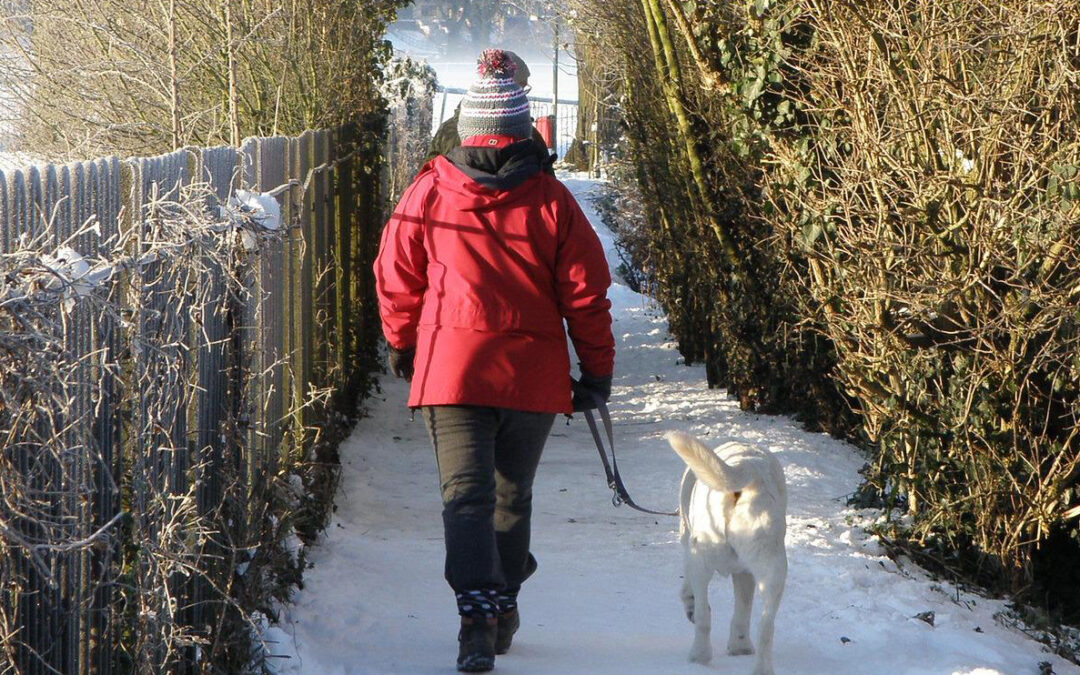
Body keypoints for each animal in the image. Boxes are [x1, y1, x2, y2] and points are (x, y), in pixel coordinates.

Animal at [660, 432, 790, 673]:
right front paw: (740, 647)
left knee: (703, 616)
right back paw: (761, 668)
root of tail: (749, 467)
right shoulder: (745, 573)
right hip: (773, 567)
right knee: (766, 626)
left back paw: (699, 656)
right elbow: (743, 611)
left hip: (700, 557)